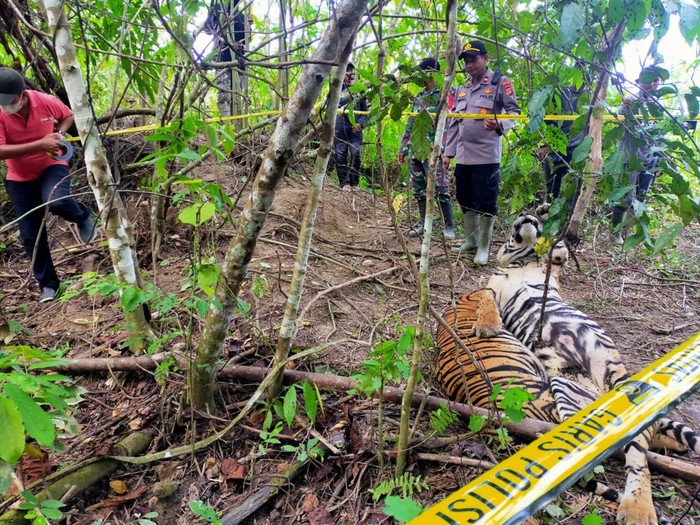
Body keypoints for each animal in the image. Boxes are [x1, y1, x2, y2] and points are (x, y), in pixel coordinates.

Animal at [472, 210, 700, 525]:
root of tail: (606, 390)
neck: (524, 259)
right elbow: (484, 296)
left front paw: (549, 230)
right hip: (572, 396)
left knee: (638, 459)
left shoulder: (554, 266)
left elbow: (558, 252)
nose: (528, 215)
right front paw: (487, 326)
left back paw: (638, 510)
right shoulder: (492, 284)